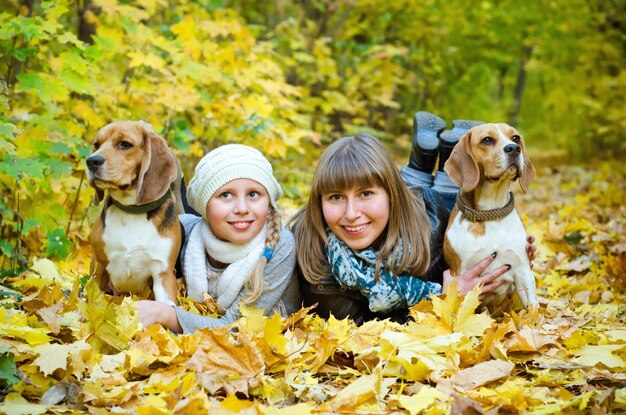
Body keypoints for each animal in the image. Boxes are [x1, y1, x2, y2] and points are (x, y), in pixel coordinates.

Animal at [86, 120, 182, 306]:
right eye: (97, 145)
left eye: (124, 144)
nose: (91, 161)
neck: (131, 211)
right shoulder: (99, 266)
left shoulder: (164, 274)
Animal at [442, 123, 540, 308]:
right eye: (487, 140)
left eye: (515, 138)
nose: (514, 148)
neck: (490, 213)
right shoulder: (461, 274)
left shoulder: (523, 271)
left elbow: (533, 310)